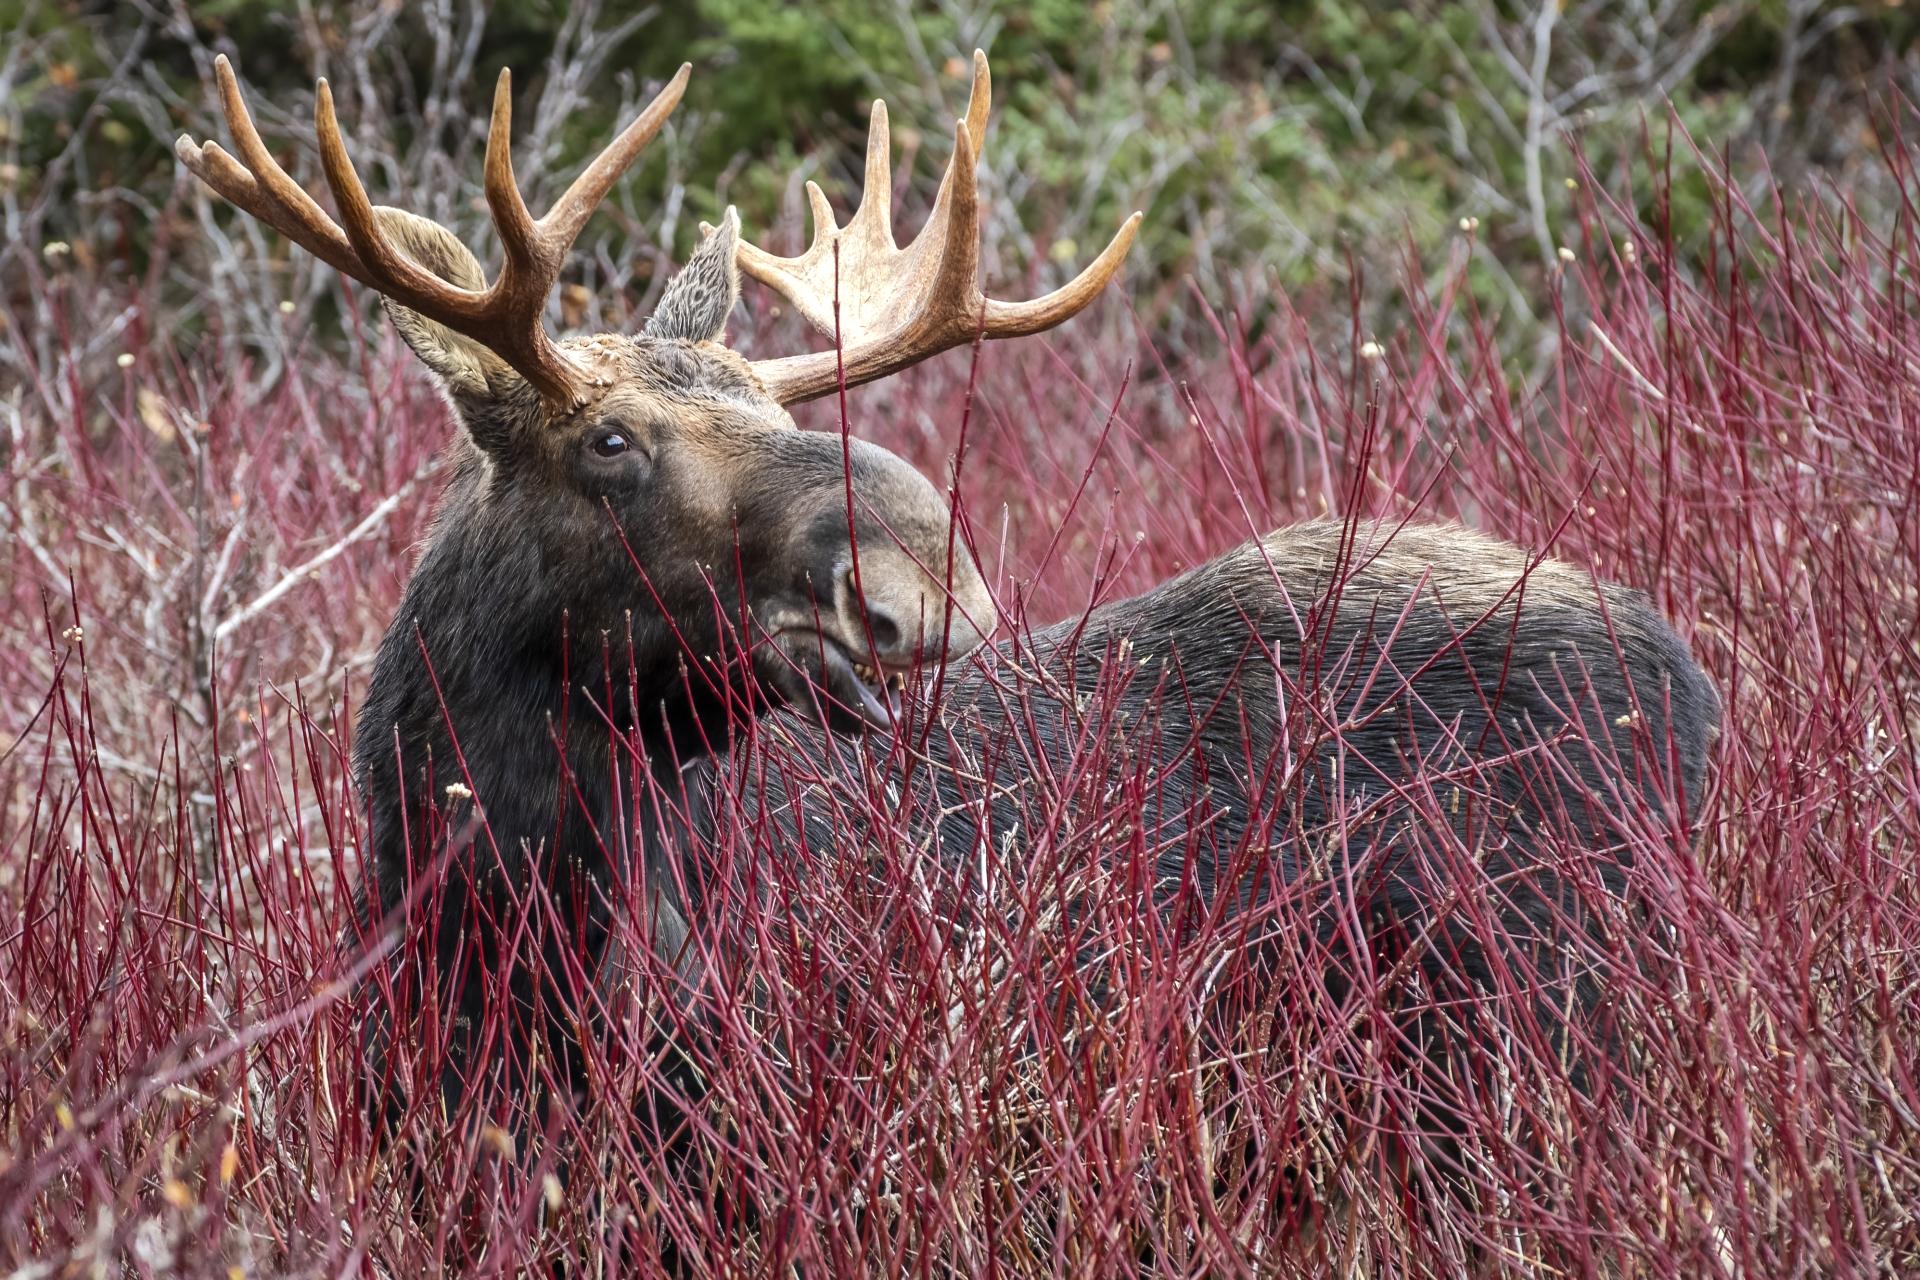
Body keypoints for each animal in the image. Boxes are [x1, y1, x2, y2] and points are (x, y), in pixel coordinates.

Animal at [177, 50, 1718, 1209]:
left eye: (780, 407)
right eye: (608, 439)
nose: (922, 578)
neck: (486, 914)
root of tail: (1695, 684)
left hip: (1539, 1050)